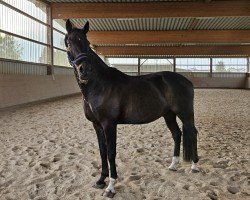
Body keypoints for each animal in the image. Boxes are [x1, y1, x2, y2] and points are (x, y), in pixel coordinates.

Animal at [65, 19, 199, 198]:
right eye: (68, 43)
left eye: (86, 43)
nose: (84, 70)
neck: (99, 85)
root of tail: (186, 81)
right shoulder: (97, 125)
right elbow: (102, 151)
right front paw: (100, 181)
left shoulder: (109, 124)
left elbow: (111, 152)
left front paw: (111, 186)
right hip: (169, 115)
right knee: (177, 134)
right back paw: (173, 165)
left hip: (185, 113)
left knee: (192, 133)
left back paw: (194, 166)